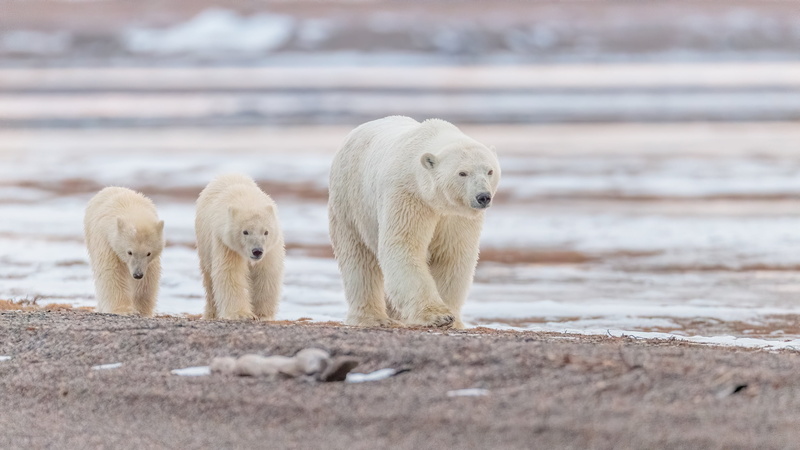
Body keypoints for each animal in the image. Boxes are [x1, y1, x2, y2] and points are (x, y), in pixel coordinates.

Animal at [84, 187, 165, 316]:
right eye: (129, 252)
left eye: (148, 253)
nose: (137, 274)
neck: (130, 207)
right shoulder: (106, 241)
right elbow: (111, 271)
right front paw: (122, 309)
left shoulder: (150, 262)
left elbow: (149, 278)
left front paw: (142, 310)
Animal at [195, 174, 285, 320]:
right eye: (245, 231)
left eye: (266, 232)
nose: (257, 251)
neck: (246, 199)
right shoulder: (225, 243)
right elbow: (230, 273)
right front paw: (242, 314)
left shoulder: (271, 249)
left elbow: (266, 273)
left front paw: (263, 315)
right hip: (204, 243)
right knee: (209, 280)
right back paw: (211, 314)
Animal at [328, 116, 501, 329]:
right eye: (462, 173)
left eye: (490, 171)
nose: (483, 197)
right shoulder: (408, 196)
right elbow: (404, 245)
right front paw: (438, 316)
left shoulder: (456, 216)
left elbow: (452, 256)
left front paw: (453, 319)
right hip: (350, 202)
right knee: (358, 259)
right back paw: (372, 318)